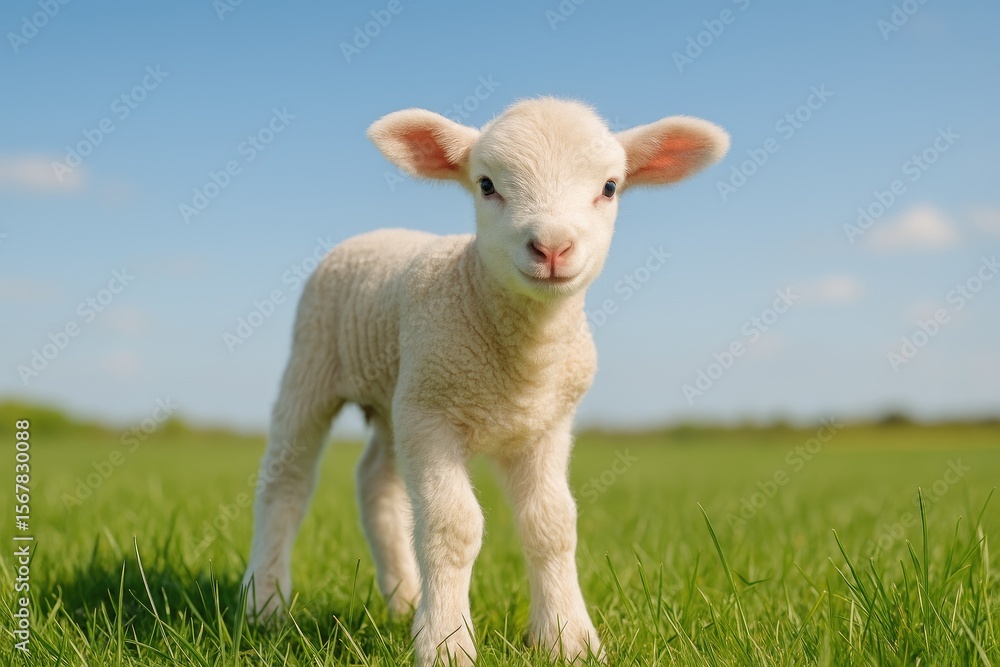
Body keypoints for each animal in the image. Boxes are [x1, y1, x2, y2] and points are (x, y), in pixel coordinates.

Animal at [242, 97, 728, 666]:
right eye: (487, 184)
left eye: (610, 187)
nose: (552, 247)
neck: (521, 363)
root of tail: (376, 232)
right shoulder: (432, 417)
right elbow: (453, 526)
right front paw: (446, 643)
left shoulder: (545, 424)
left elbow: (552, 525)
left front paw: (568, 638)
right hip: (314, 363)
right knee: (287, 481)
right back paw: (265, 603)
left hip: (396, 392)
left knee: (376, 482)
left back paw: (403, 599)